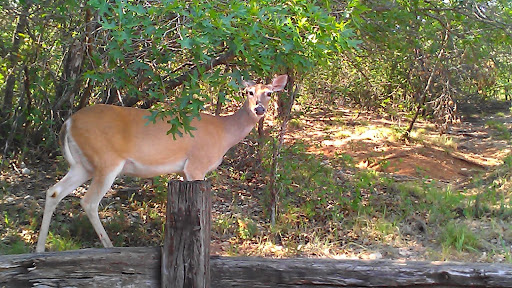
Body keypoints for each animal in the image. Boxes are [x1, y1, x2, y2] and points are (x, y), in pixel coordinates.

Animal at [36, 74, 288, 252]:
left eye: (269, 93)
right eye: (249, 91)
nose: (259, 108)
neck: (224, 133)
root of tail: (68, 122)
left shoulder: (185, 171)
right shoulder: (197, 164)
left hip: (83, 164)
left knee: (54, 191)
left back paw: (39, 249)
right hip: (106, 160)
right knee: (88, 201)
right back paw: (109, 246)